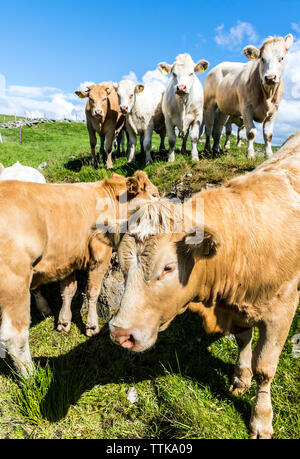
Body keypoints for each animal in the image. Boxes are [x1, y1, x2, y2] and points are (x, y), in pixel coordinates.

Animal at [0, 171, 159, 376]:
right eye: (154, 194)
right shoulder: (100, 254)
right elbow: (92, 291)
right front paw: (92, 325)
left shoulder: (67, 259)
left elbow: (68, 291)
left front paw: (63, 321)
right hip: (15, 283)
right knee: (15, 336)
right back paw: (31, 375)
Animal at [109, 131, 300, 440]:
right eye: (123, 267)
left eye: (168, 267)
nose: (119, 333)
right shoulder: (236, 309)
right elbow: (243, 341)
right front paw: (241, 376)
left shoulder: (282, 311)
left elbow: (265, 369)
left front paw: (261, 418)